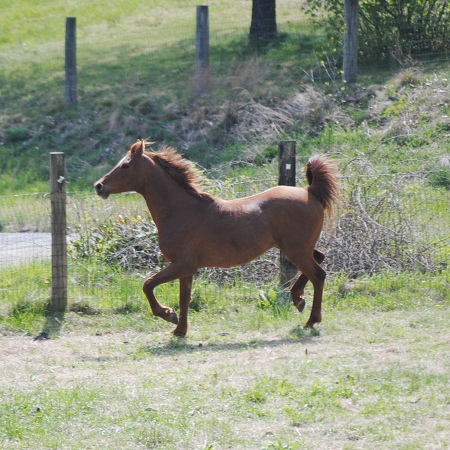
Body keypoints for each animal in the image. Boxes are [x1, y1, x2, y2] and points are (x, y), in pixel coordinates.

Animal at [96, 139, 342, 336]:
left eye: (125, 165)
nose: (99, 186)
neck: (181, 210)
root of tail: (311, 192)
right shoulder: (186, 268)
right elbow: (184, 297)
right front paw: (179, 330)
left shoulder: (182, 264)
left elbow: (148, 285)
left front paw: (167, 315)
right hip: (299, 249)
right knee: (319, 258)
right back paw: (298, 299)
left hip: (296, 250)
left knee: (319, 275)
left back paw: (310, 320)